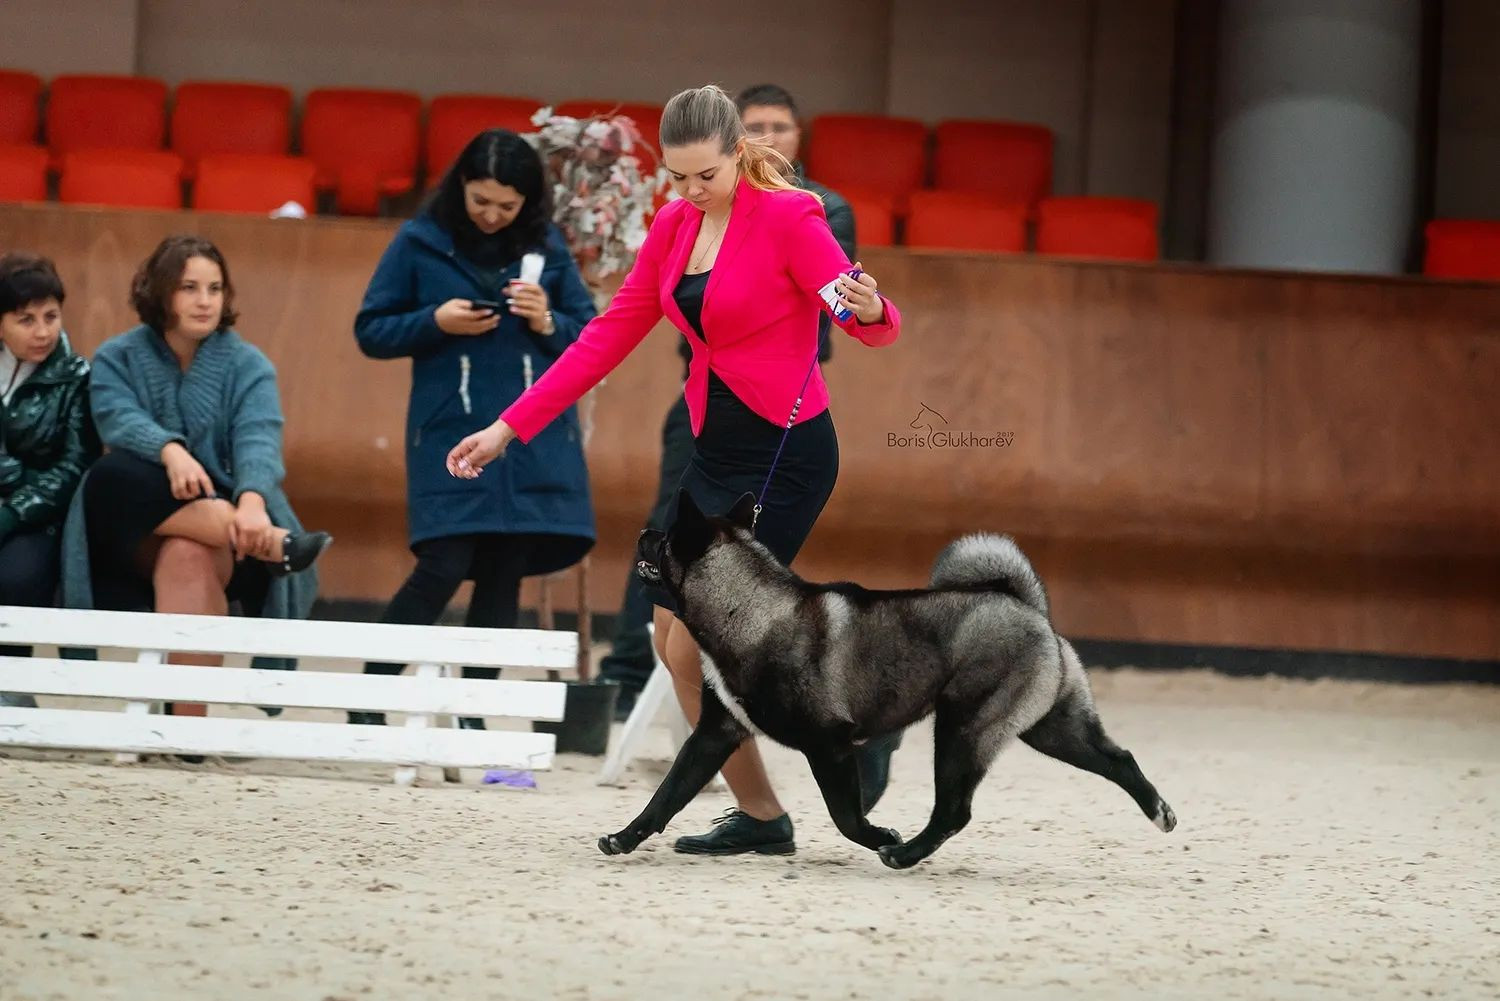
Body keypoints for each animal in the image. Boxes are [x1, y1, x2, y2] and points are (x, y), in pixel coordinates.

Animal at [600, 492, 1182, 870]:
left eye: (667, 539)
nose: (643, 533)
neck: (751, 610)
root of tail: (1026, 606)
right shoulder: (714, 736)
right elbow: (666, 796)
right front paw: (623, 839)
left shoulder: (828, 746)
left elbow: (844, 815)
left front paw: (879, 834)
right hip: (1052, 729)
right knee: (1118, 761)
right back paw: (1160, 813)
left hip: (963, 732)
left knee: (955, 810)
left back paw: (903, 854)